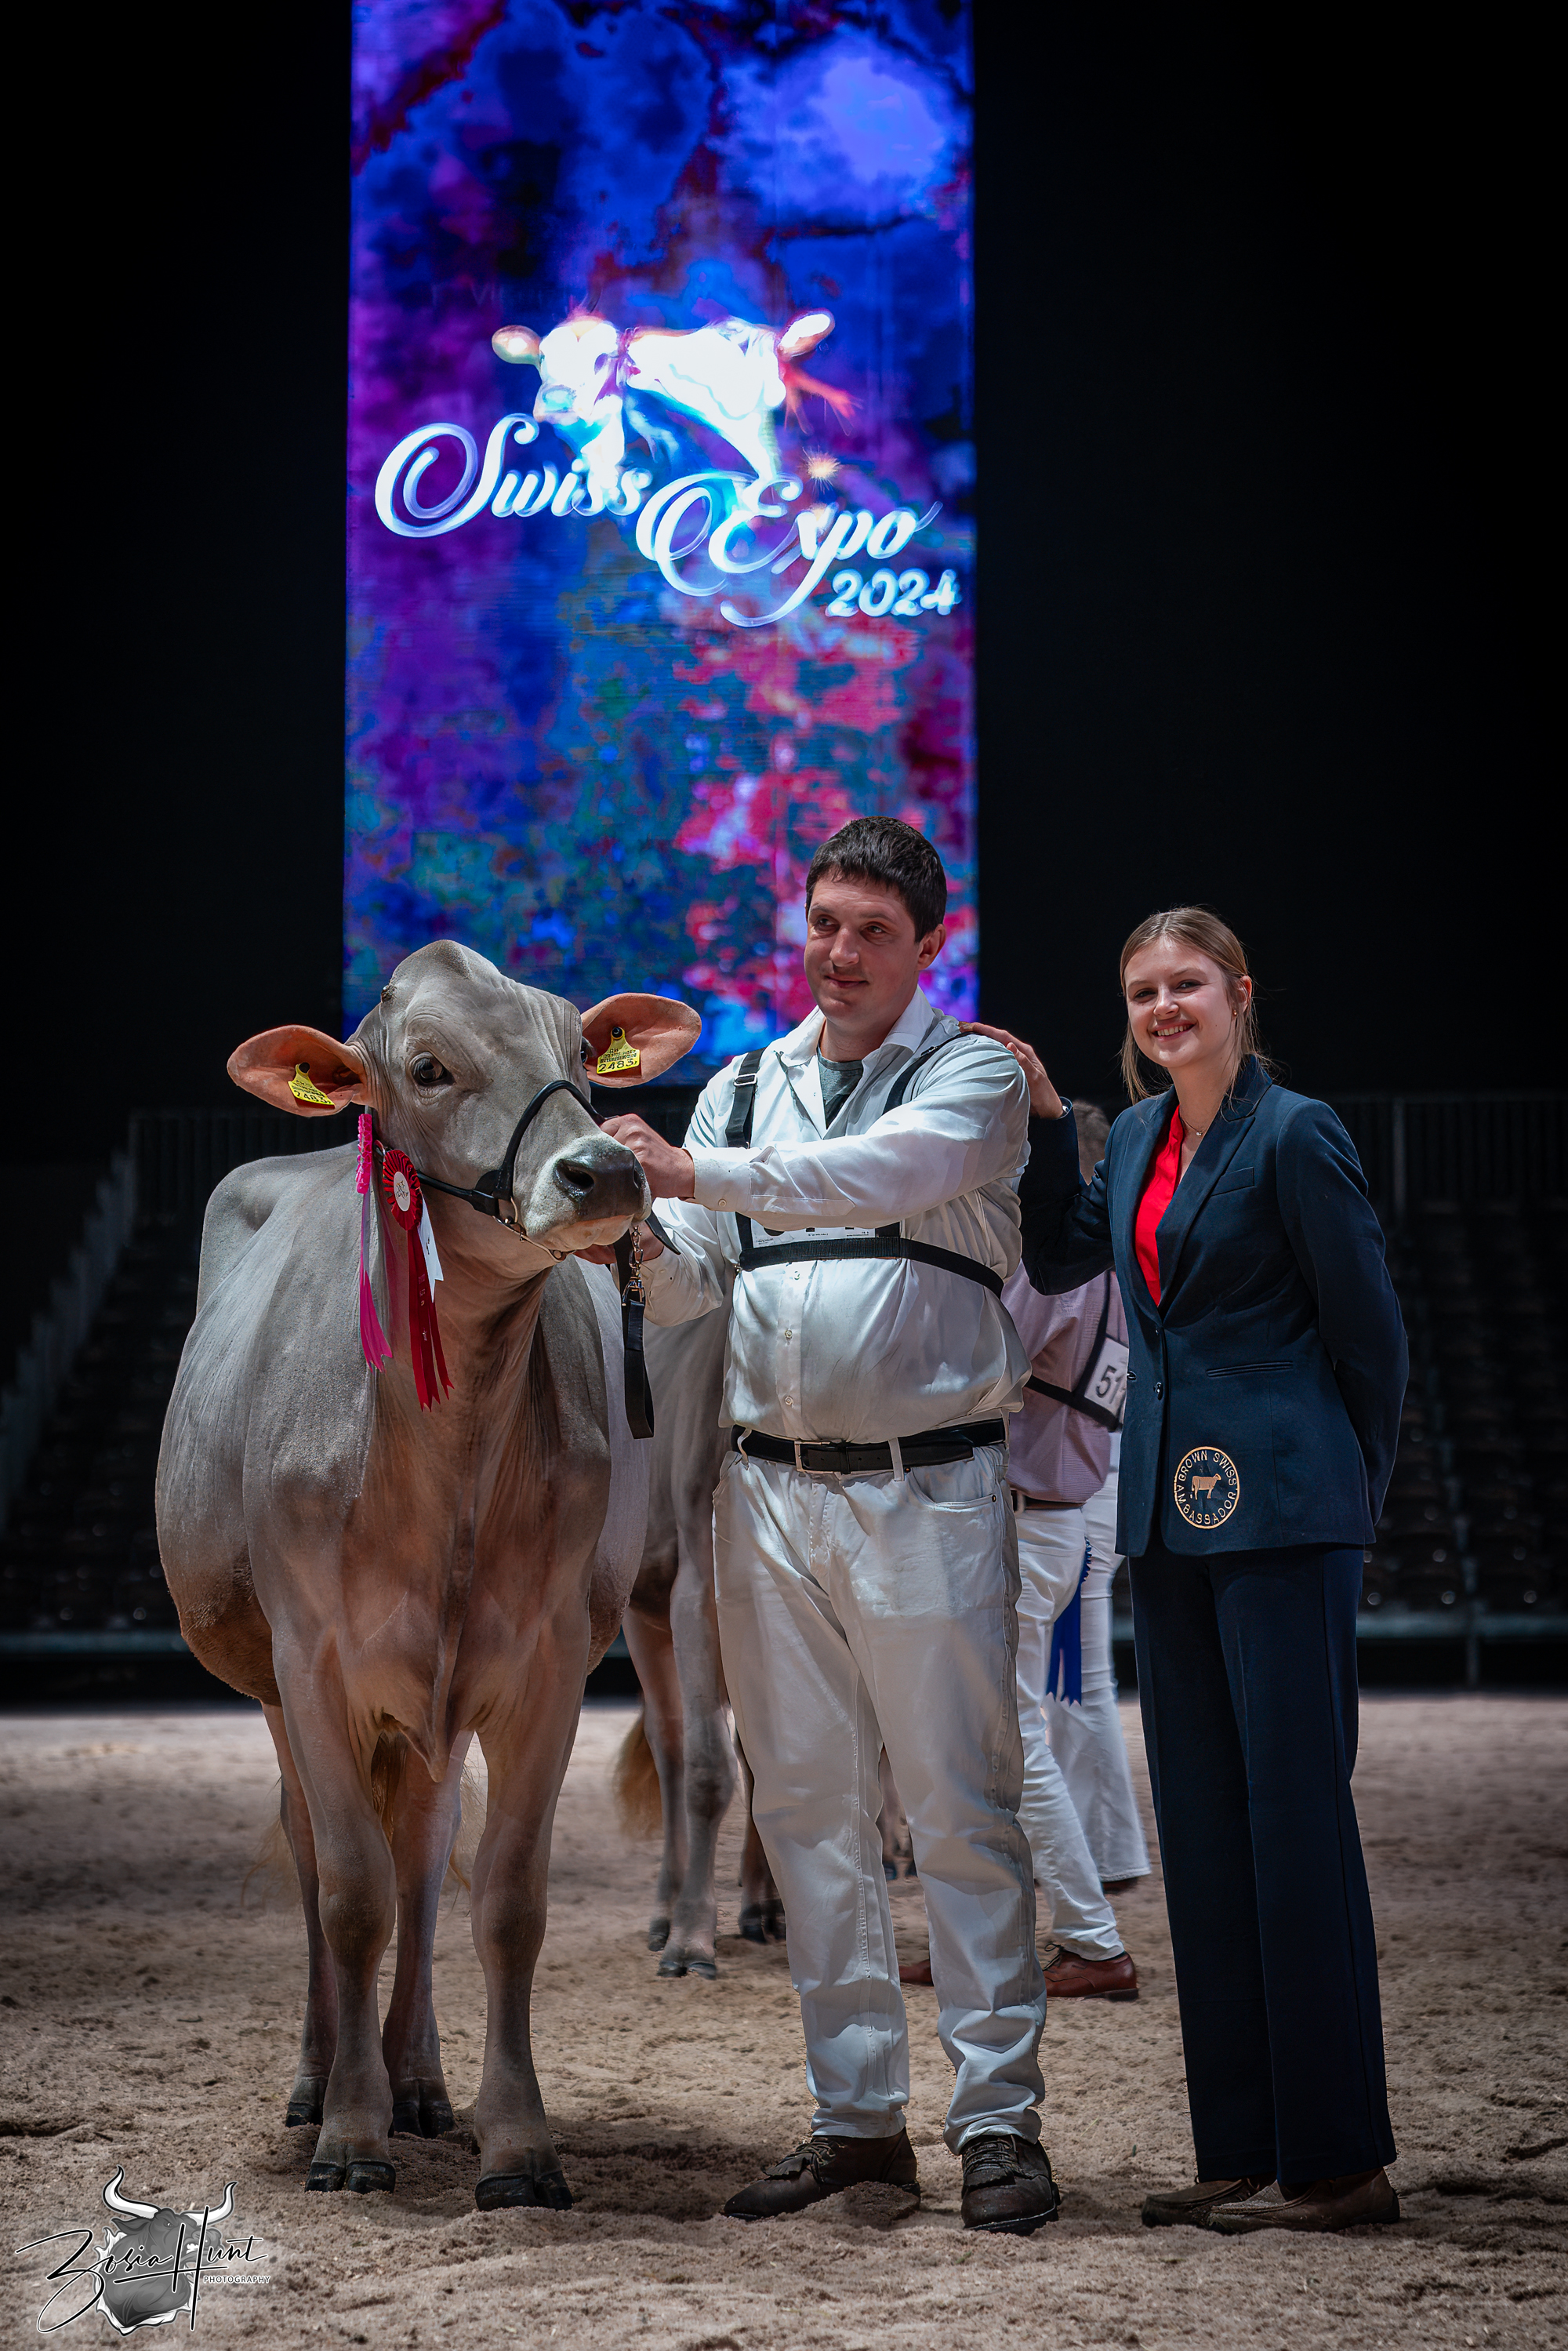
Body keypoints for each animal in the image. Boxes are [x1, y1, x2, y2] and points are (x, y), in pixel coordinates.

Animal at [156, 942, 698, 2209]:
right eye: (429, 1067)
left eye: (579, 1052)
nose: (606, 1169)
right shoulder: (313, 1657)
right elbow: (349, 1894)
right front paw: (349, 2131)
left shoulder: (547, 1660)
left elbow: (503, 1898)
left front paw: (517, 2138)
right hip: (276, 1686)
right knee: (320, 1850)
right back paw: (324, 2079)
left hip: (439, 1701)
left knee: (427, 1847)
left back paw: (419, 2080)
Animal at [616, 1309, 784, 1977]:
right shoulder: (697, 1590)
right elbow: (708, 1767)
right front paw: (691, 1936)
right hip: (645, 1614)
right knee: (671, 1748)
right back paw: (667, 1909)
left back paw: (763, 1904)